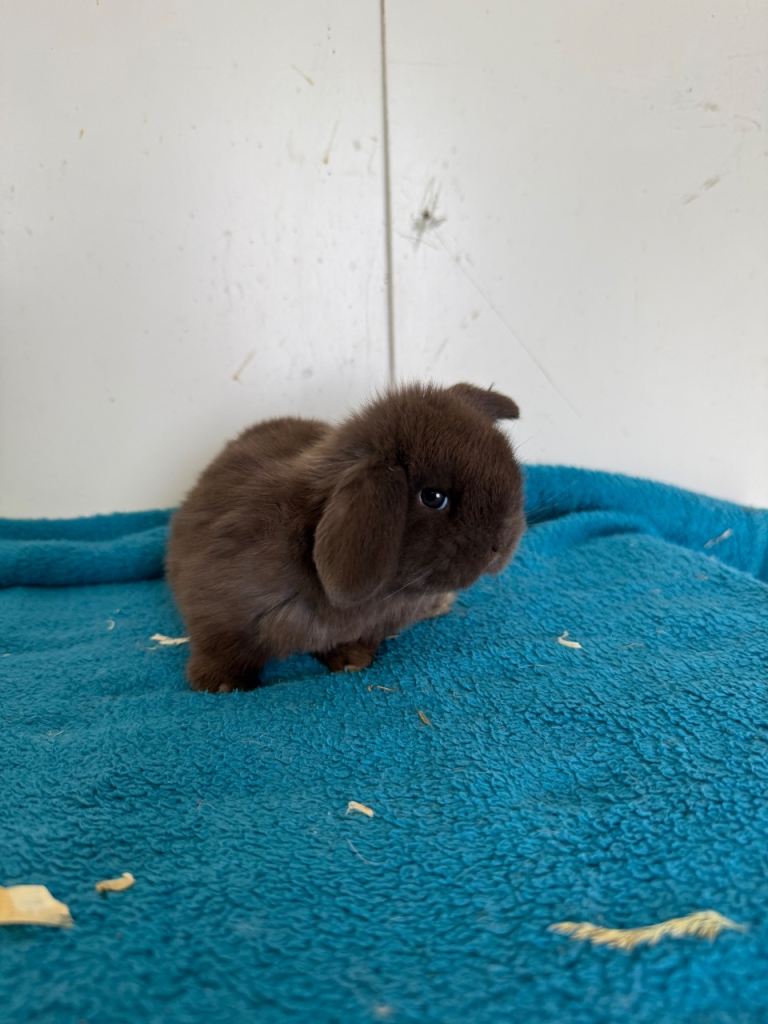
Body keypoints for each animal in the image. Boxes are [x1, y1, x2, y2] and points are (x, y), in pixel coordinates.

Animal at [166, 382, 524, 692]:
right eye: (433, 497)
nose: (502, 543)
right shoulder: (217, 606)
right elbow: (220, 647)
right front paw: (220, 684)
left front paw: (353, 660)